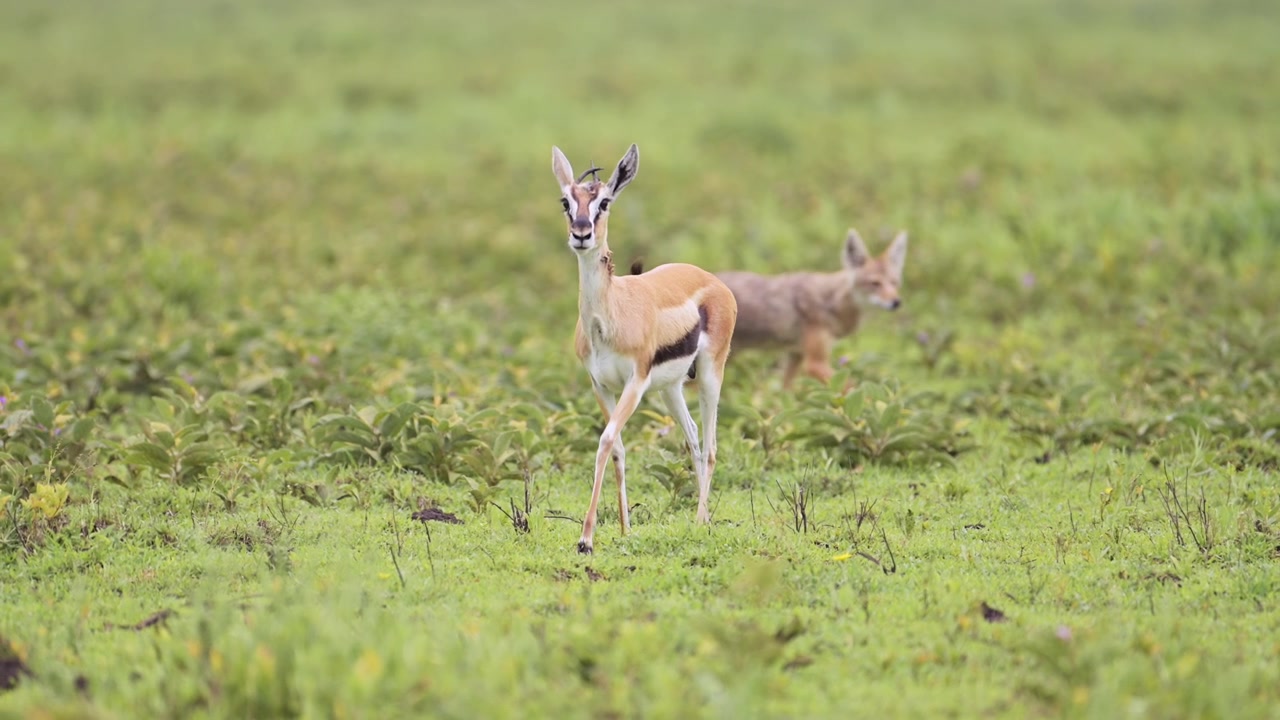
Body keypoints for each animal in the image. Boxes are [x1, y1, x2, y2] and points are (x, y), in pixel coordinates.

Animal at [551, 143, 738, 554]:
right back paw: (703, 518)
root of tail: (712, 280)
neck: (611, 314)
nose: (581, 234)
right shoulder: (600, 384)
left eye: (604, 202)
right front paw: (624, 529)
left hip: (710, 375)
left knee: (711, 445)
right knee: (694, 438)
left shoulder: (634, 384)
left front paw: (586, 539)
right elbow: (618, 446)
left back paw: (700, 521)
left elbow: (605, 440)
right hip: (670, 389)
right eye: (566, 201)